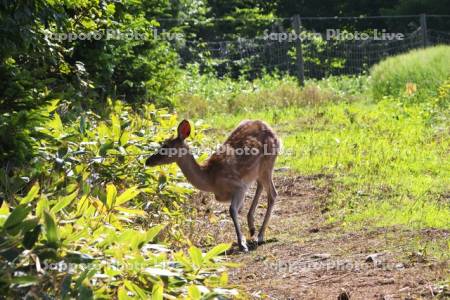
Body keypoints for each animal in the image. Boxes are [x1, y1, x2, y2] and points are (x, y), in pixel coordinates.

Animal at [146, 119, 280, 251]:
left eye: (166, 147)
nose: (148, 161)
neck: (211, 180)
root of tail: (276, 136)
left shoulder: (239, 187)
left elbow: (232, 210)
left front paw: (242, 244)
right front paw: (243, 239)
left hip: (268, 162)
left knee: (272, 193)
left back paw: (260, 236)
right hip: (258, 171)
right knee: (261, 185)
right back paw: (252, 228)